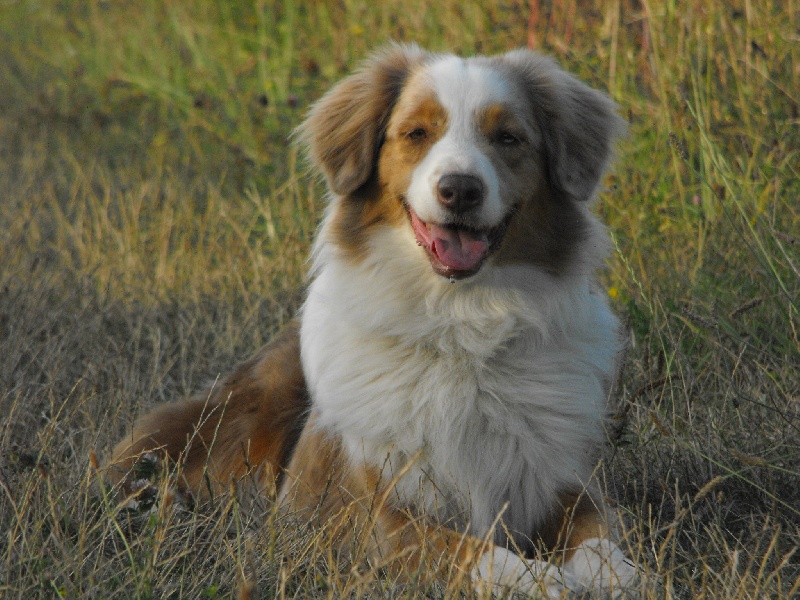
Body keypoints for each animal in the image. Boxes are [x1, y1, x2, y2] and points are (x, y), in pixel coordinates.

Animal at [111, 45, 644, 596]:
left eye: (508, 138)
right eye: (417, 133)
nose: (459, 189)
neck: (460, 325)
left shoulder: (561, 480)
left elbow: (601, 539)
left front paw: (620, 575)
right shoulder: (357, 512)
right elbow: (462, 549)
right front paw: (539, 579)